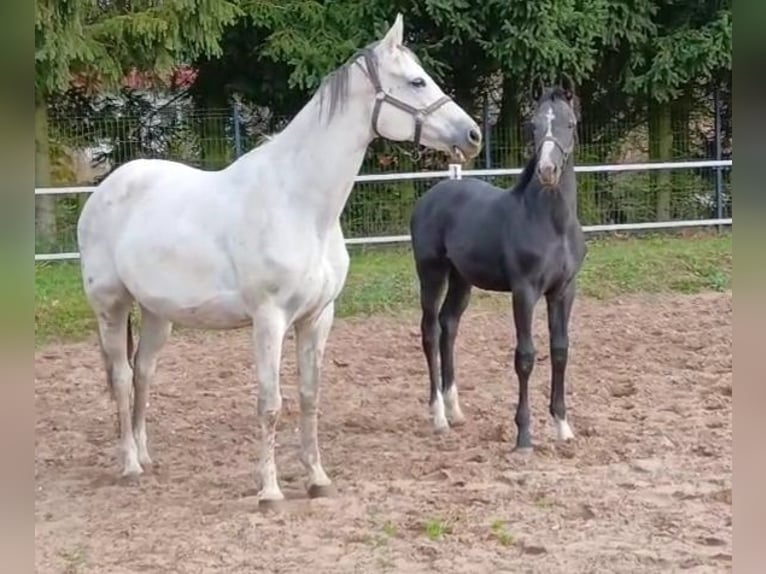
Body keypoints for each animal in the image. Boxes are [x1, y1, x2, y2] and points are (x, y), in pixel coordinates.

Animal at [76, 13, 482, 507]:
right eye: (416, 81)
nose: (473, 135)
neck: (300, 203)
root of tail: (106, 188)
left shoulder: (318, 317)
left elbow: (309, 397)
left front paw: (317, 478)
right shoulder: (269, 320)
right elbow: (269, 404)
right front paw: (269, 490)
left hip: (158, 315)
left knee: (142, 375)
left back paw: (146, 456)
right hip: (111, 307)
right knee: (119, 376)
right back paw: (130, 465)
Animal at [409, 76, 587, 452]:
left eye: (570, 124)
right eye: (533, 126)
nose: (547, 171)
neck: (552, 224)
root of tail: (430, 197)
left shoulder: (564, 290)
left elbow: (560, 350)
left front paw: (563, 426)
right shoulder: (524, 291)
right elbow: (525, 356)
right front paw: (523, 437)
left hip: (461, 279)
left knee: (449, 325)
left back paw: (455, 409)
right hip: (431, 274)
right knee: (430, 331)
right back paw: (439, 416)